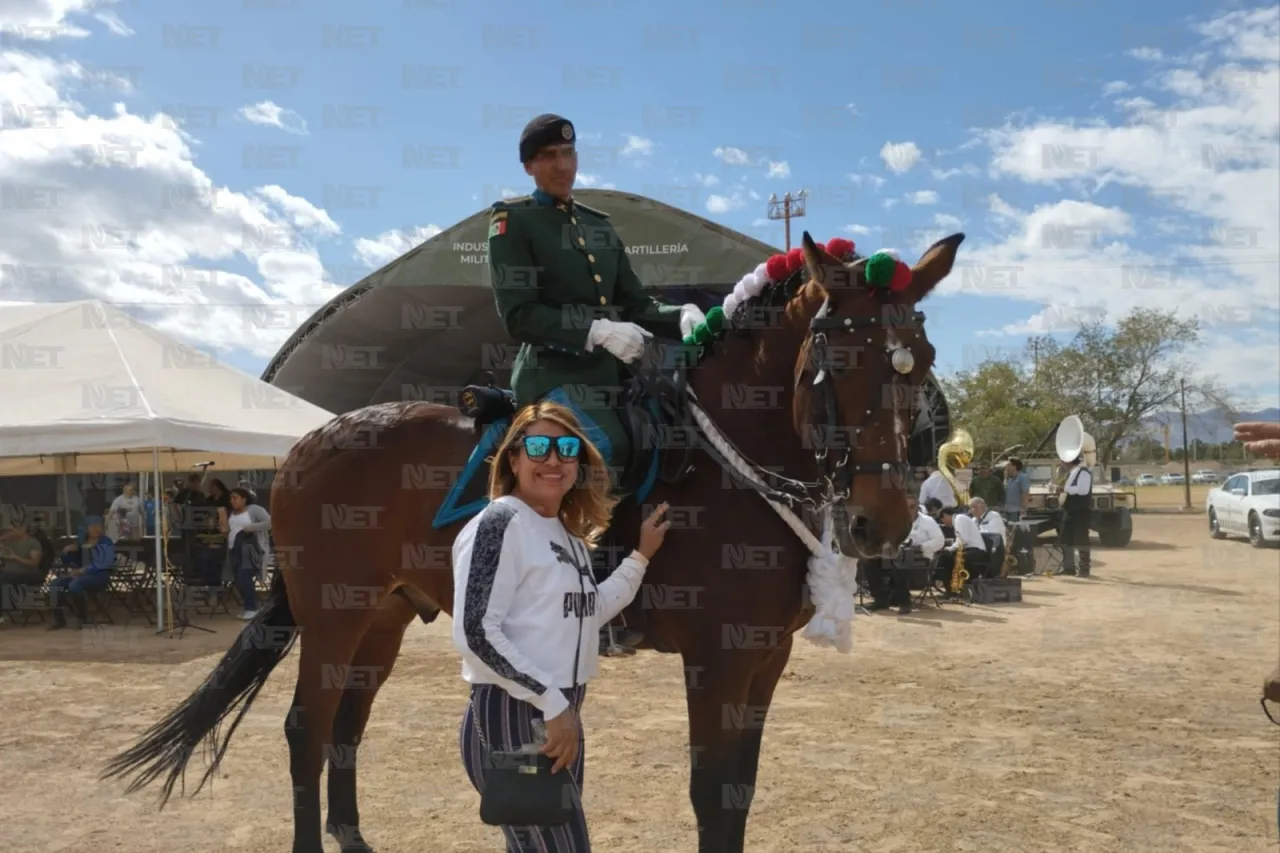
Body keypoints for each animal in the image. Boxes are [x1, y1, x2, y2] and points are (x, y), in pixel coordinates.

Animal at [102, 229, 962, 845]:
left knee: (347, 727)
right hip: (333, 615)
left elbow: (740, 793)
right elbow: (713, 798)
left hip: (381, 617)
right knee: (307, 729)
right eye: (833, 361)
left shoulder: (765, 659)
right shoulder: (717, 660)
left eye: (921, 361)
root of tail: (310, 441)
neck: (725, 458)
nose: (882, 521)